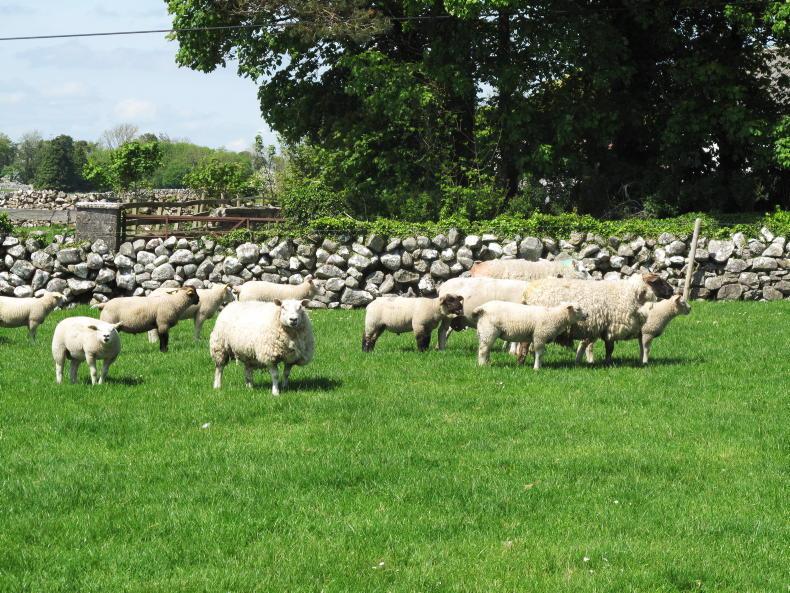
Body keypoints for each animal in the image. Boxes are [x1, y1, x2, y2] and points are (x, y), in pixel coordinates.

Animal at [520, 273, 674, 364]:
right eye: (658, 281)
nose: (672, 291)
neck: (630, 293)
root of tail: (527, 292)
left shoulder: (605, 328)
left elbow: (608, 347)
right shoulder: (611, 326)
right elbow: (610, 348)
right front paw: (608, 363)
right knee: (525, 345)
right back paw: (525, 361)